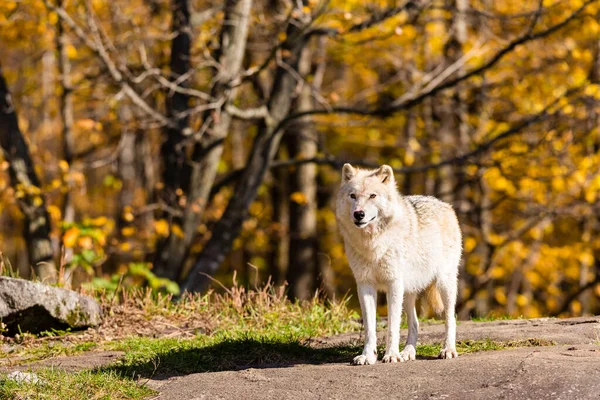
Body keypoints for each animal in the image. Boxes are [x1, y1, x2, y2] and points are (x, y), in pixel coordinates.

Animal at [336, 163, 462, 366]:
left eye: (373, 196)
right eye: (353, 196)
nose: (358, 214)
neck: (373, 244)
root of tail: (445, 205)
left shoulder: (393, 283)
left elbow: (392, 326)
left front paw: (391, 355)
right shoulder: (364, 285)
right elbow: (370, 328)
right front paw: (368, 356)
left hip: (444, 283)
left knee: (451, 318)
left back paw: (448, 350)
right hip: (408, 290)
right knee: (415, 323)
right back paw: (408, 353)